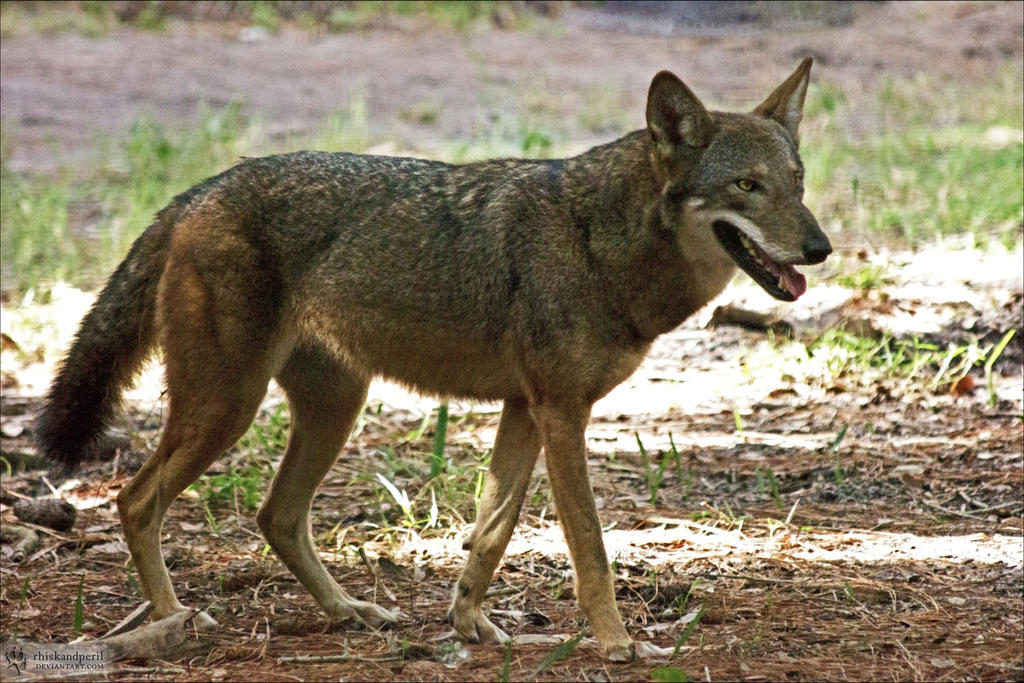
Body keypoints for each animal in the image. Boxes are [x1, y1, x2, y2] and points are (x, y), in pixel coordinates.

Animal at [36, 58, 830, 660]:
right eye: (746, 186)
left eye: (798, 184)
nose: (819, 248)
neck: (600, 241)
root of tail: (201, 190)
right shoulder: (563, 413)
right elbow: (591, 551)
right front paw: (615, 644)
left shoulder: (527, 409)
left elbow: (490, 533)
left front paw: (471, 624)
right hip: (226, 409)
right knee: (136, 501)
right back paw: (175, 621)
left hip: (331, 410)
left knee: (276, 515)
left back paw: (350, 611)